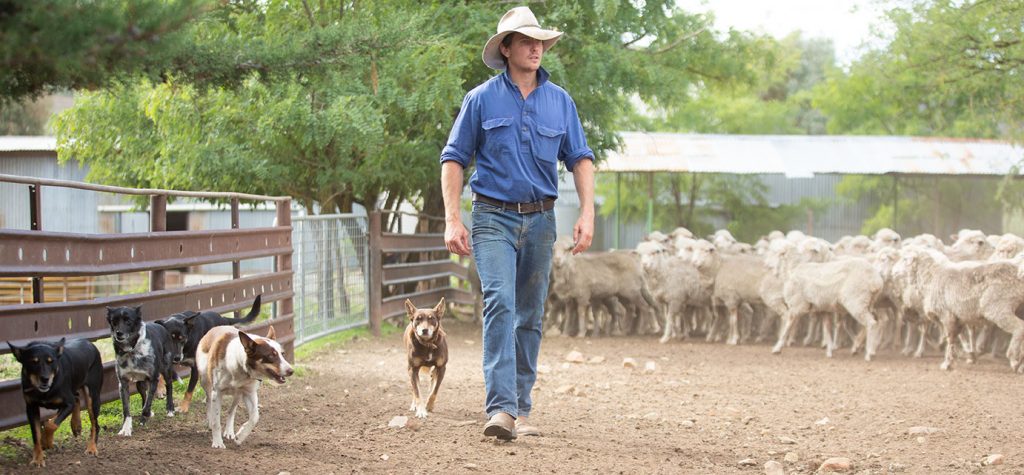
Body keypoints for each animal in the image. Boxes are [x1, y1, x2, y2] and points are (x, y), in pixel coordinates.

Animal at [7, 337, 101, 466]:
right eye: (33, 362)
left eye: (51, 361)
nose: (45, 379)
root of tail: (89, 343)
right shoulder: (31, 407)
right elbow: (36, 433)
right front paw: (38, 458)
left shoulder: (68, 403)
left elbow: (50, 425)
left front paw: (47, 442)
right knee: (77, 397)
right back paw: (76, 425)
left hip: (93, 395)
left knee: (95, 424)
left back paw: (91, 447)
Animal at [105, 307, 176, 436]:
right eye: (114, 321)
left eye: (128, 321)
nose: (118, 333)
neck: (132, 351)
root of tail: (161, 326)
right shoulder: (123, 383)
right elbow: (127, 409)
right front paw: (126, 428)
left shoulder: (153, 379)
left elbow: (147, 406)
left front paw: (145, 416)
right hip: (139, 383)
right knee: (144, 394)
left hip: (166, 368)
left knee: (169, 386)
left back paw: (170, 409)